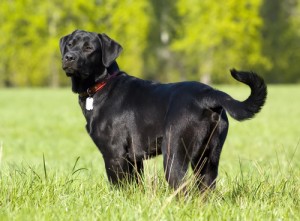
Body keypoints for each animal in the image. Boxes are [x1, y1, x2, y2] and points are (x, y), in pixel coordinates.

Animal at [59, 29, 268, 192]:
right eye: (70, 44)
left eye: (89, 48)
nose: (69, 57)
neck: (101, 86)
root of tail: (209, 94)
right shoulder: (135, 159)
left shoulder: (114, 154)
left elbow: (120, 187)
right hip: (208, 159)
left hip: (174, 153)